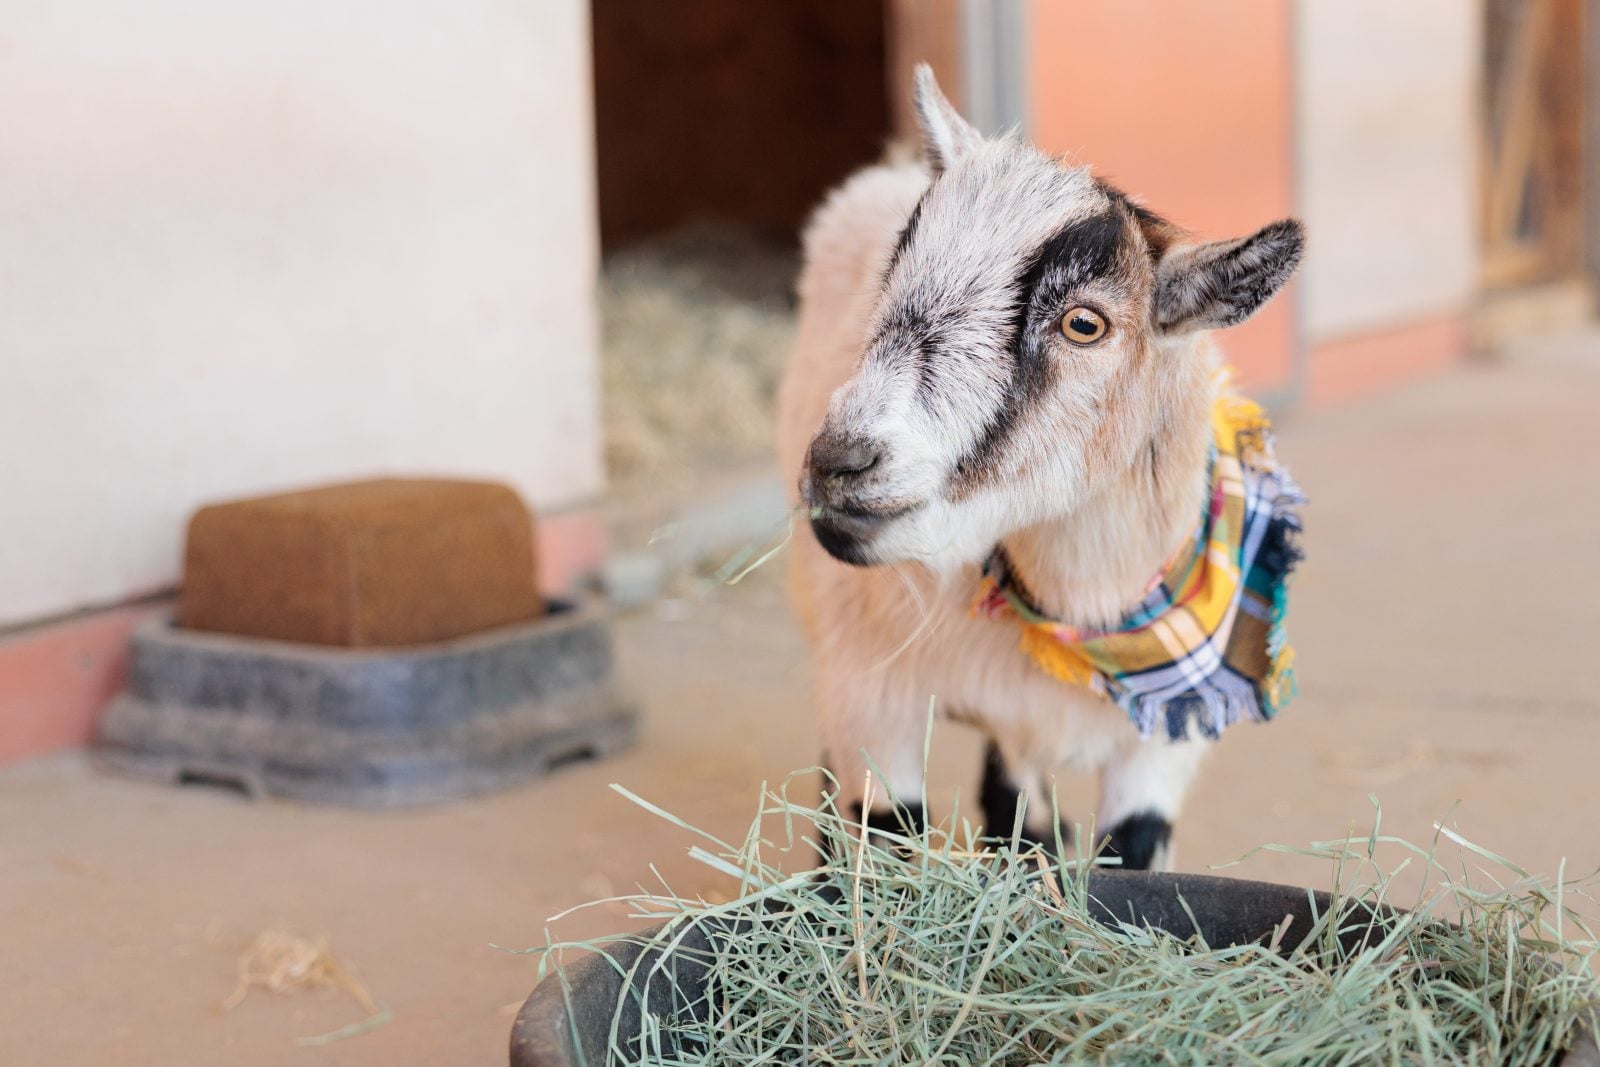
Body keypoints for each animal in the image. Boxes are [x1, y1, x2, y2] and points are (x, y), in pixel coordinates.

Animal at [776, 67, 1305, 870]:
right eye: (892, 280)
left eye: (1084, 323)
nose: (840, 461)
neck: (1081, 614)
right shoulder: (874, 699)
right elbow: (885, 836)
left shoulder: (1158, 746)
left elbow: (1132, 855)